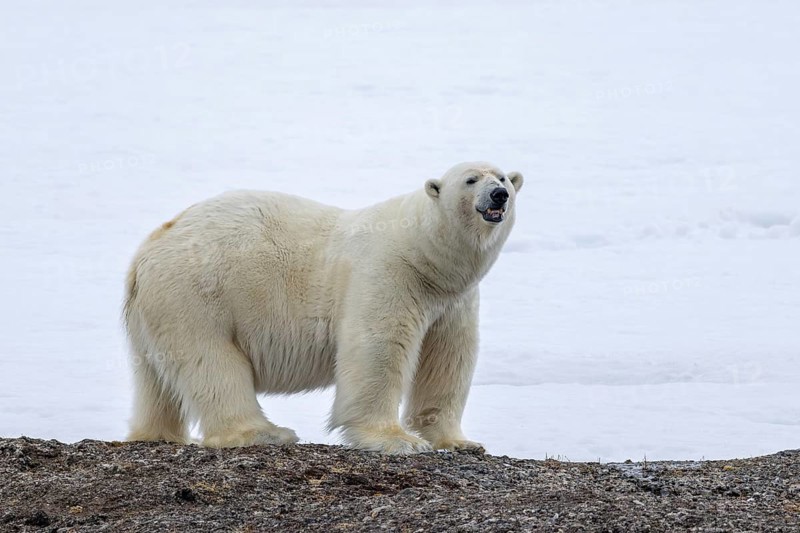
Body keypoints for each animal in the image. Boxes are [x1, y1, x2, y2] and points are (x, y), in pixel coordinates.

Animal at [124, 161, 523, 454]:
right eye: (471, 179)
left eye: (503, 176)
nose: (499, 194)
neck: (424, 254)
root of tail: (149, 248)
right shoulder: (388, 274)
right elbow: (377, 348)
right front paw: (397, 440)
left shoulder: (453, 300)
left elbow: (448, 360)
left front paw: (460, 441)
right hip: (199, 295)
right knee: (212, 362)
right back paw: (265, 433)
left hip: (158, 308)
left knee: (156, 377)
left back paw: (159, 433)